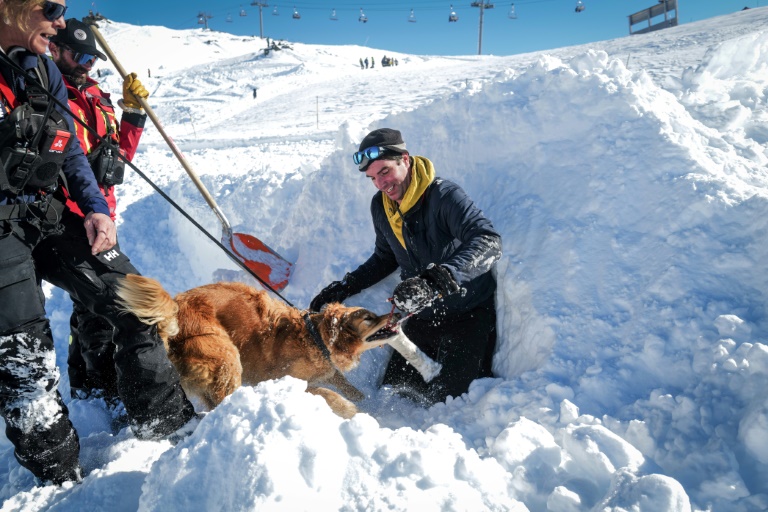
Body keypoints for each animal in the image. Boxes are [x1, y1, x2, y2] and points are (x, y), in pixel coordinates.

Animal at [115, 274, 412, 418]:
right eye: (368, 318)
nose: (398, 312)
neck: (316, 338)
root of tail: (175, 310)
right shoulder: (290, 379)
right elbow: (328, 393)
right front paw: (351, 412)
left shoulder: (326, 370)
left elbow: (345, 385)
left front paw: (367, 402)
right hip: (226, 355)